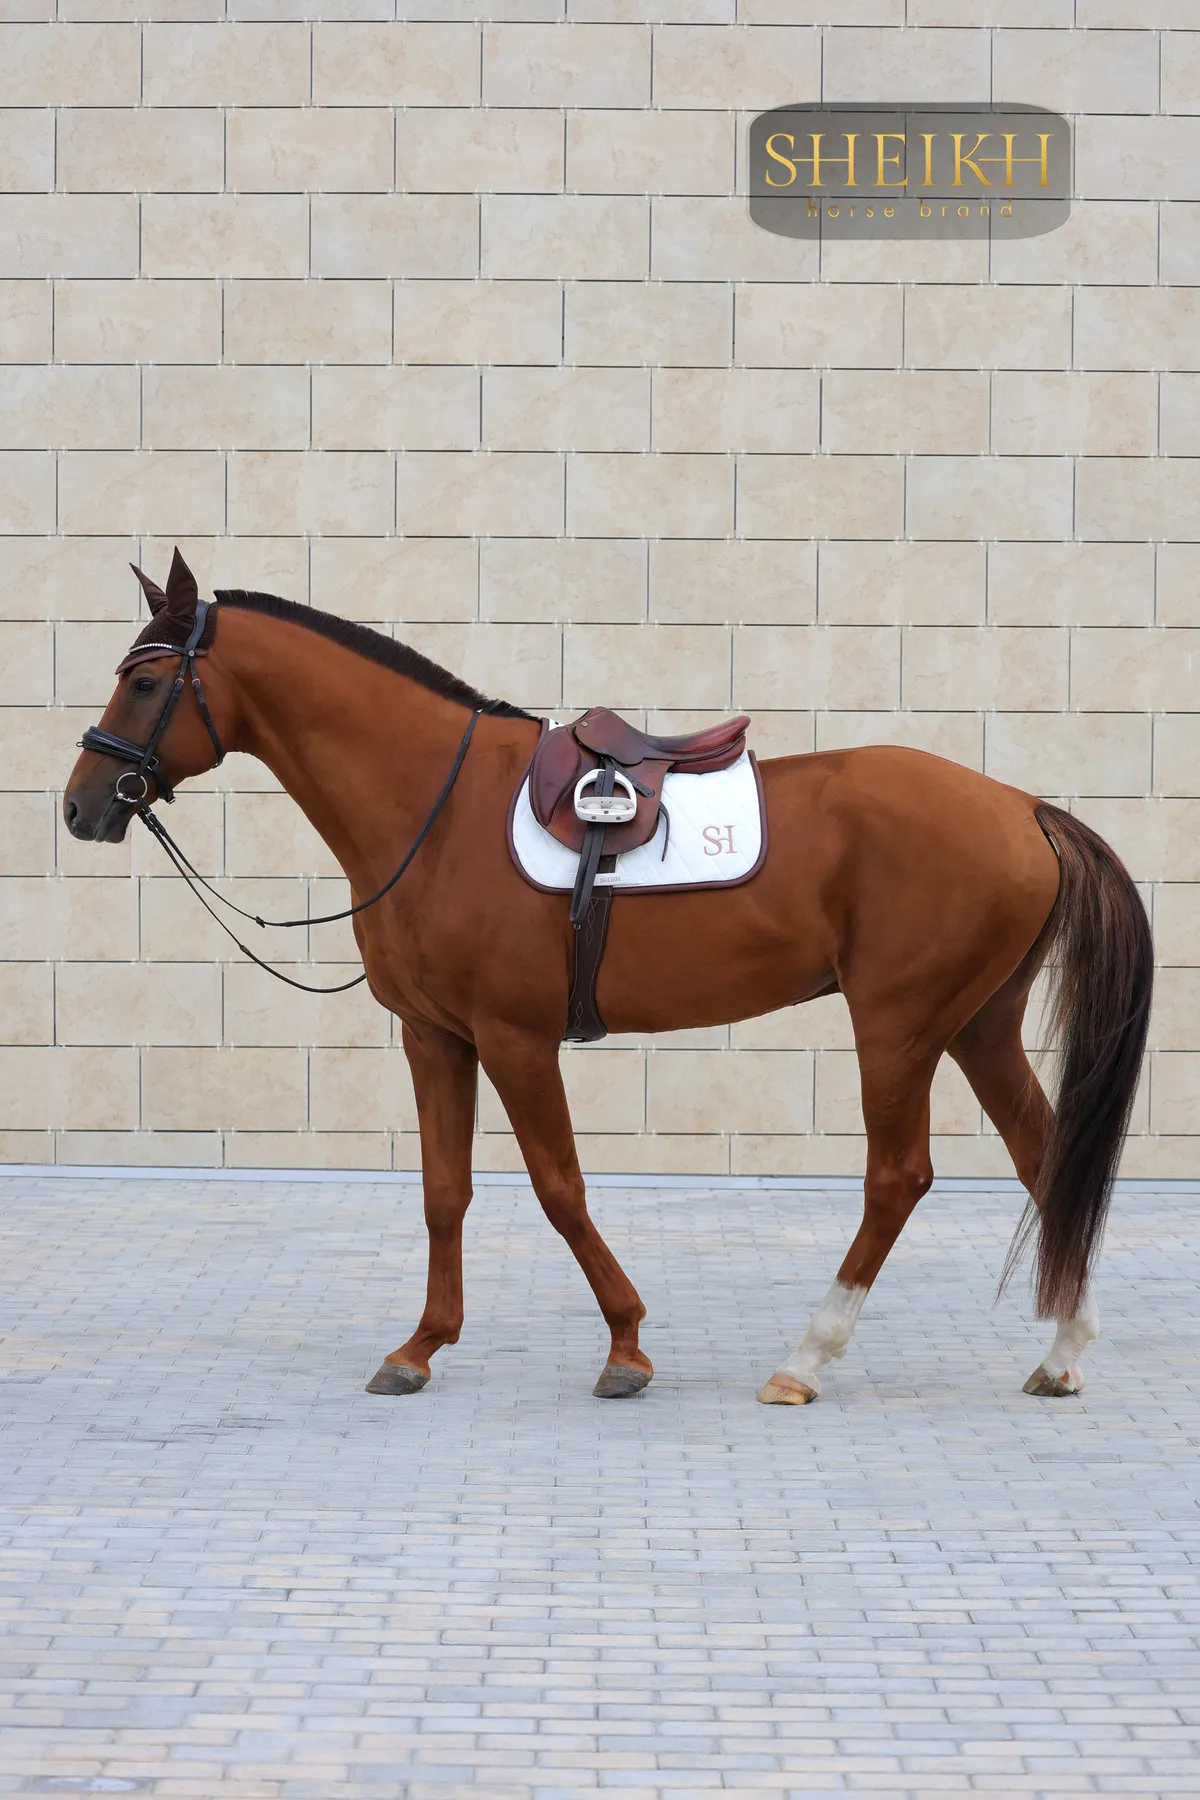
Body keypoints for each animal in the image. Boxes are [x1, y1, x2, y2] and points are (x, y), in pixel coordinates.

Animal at [63, 550, 1153, 1406]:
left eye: (148, 683)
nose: (82, 806)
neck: (438, 810)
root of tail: (1022, 806)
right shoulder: (435, 1036)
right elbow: (444, 1191)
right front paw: (419, 1347)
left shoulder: (515, 1038)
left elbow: (559, 1187)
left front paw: (626, 1347)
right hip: (977, 1025)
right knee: (1045, 1155)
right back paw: (1062, 1354)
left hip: (899, 1026)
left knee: (899, 1177)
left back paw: (807, 1357)